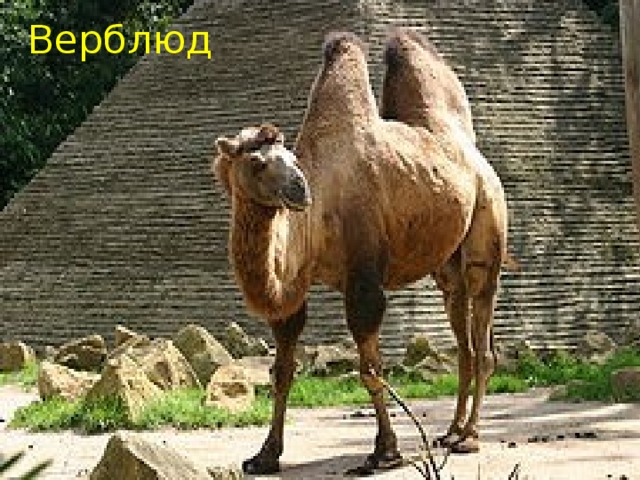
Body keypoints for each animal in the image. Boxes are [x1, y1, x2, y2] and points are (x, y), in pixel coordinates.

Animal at [213, 31, 509, 474]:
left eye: (292, 159)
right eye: (258, 162)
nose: (300, 189)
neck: (316, 221)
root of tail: (473, 154)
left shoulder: (364, 279)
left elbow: (371, 371)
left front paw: (384, 452)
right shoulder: (293, 288)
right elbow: (281, 371)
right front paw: (265, 455)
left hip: (487, 222)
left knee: (483, 321)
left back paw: (470, 438)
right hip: (447, 263)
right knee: (463, 335)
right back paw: (452, 432)